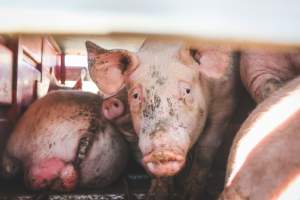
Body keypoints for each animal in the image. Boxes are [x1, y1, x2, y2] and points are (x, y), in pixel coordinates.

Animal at [85, 39, 238, 200]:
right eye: (135, 96)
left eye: (187, 91)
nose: (161, 151)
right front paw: (156, 194)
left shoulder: (225, 104)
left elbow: (206, 149)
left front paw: (190, 194)